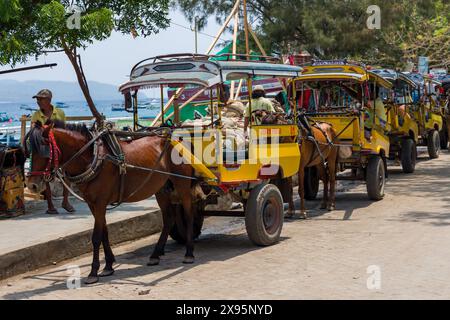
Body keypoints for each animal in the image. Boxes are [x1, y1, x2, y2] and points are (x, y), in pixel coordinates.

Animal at [25, 121, 199, 284]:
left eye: (44, 150)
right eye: (30, 151)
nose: (32, 185)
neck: (93, 157)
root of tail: (178, 137)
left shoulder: (100, 202)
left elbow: (96, 237)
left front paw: (93, 272)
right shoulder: (92, 203)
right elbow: (104, 233)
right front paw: (108, 266)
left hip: (182, 184)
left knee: (189, 214)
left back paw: (189, 253)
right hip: (161, 188)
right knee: (168, 219)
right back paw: (155, 254)